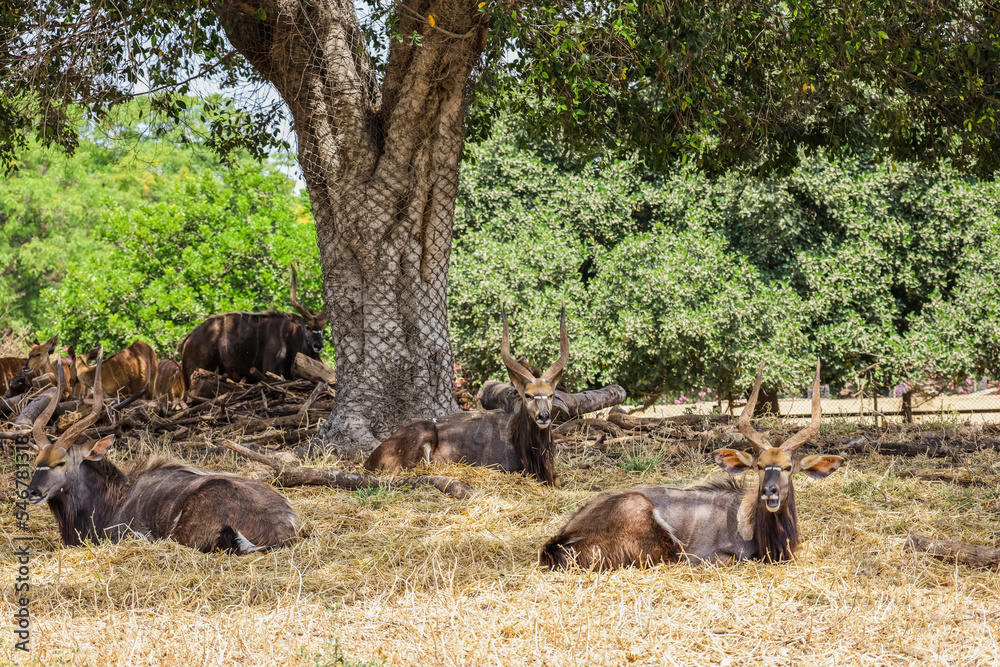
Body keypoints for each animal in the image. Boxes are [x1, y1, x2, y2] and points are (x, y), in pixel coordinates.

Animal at [180, 264, 328, 384]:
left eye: (322, 328)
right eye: (307, 326)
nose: (319, 345)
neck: (290, 337)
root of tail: (187, 341)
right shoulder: (272, 371)